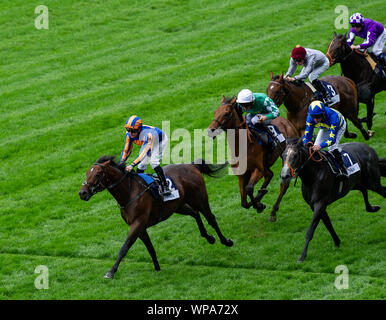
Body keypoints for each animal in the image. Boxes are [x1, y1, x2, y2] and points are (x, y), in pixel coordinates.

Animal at [78, 156, 232, 278]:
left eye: (98, 174)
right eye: (87, 173)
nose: (82, 193)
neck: (129, 193)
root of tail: (191, 165)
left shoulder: (137, 224)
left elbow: (124, 247)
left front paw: (111, 271)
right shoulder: (140, 227)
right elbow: (150, 248)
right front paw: (157, 268)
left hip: (200, 199)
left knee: (211, 218)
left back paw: (226, 241)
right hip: (178, 206)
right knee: (195, 213)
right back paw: (209, 237)